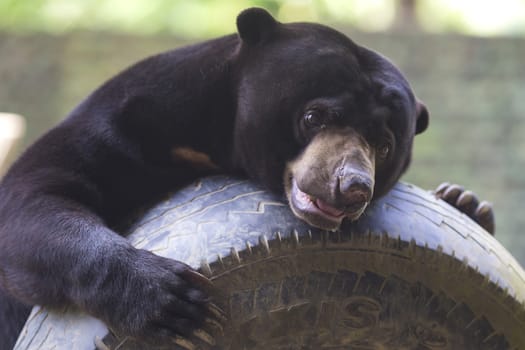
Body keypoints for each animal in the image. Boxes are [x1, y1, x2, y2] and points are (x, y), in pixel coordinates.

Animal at [0, 6, 492, 348]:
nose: (352, 186)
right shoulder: (128, 117)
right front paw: (172, 299)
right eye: (315, 116)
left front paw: (466, 202)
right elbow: (33, 196)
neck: (216, 141)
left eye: (384, 146)